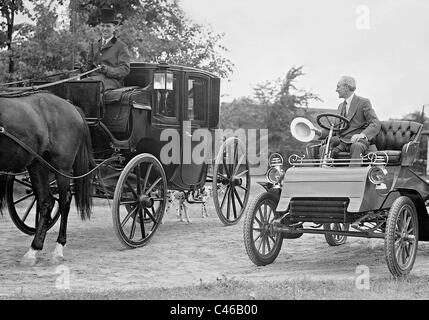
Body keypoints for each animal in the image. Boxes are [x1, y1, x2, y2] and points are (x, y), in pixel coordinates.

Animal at [0, 90, 93, 264]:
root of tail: (71, 106)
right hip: (38, 164)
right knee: (46, 202)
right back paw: (33, 250)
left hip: (62, 167)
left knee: (64, 202)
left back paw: (58, 248)